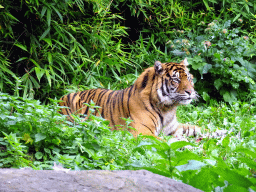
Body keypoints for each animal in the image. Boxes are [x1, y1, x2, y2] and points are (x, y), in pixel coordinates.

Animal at [59, 57, 201, 139]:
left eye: (189, 78)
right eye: (176, 80)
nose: (190, 92)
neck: (168, 108)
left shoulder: (174, 127)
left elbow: (196, 128)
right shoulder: (141, 132)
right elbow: (165, 143)